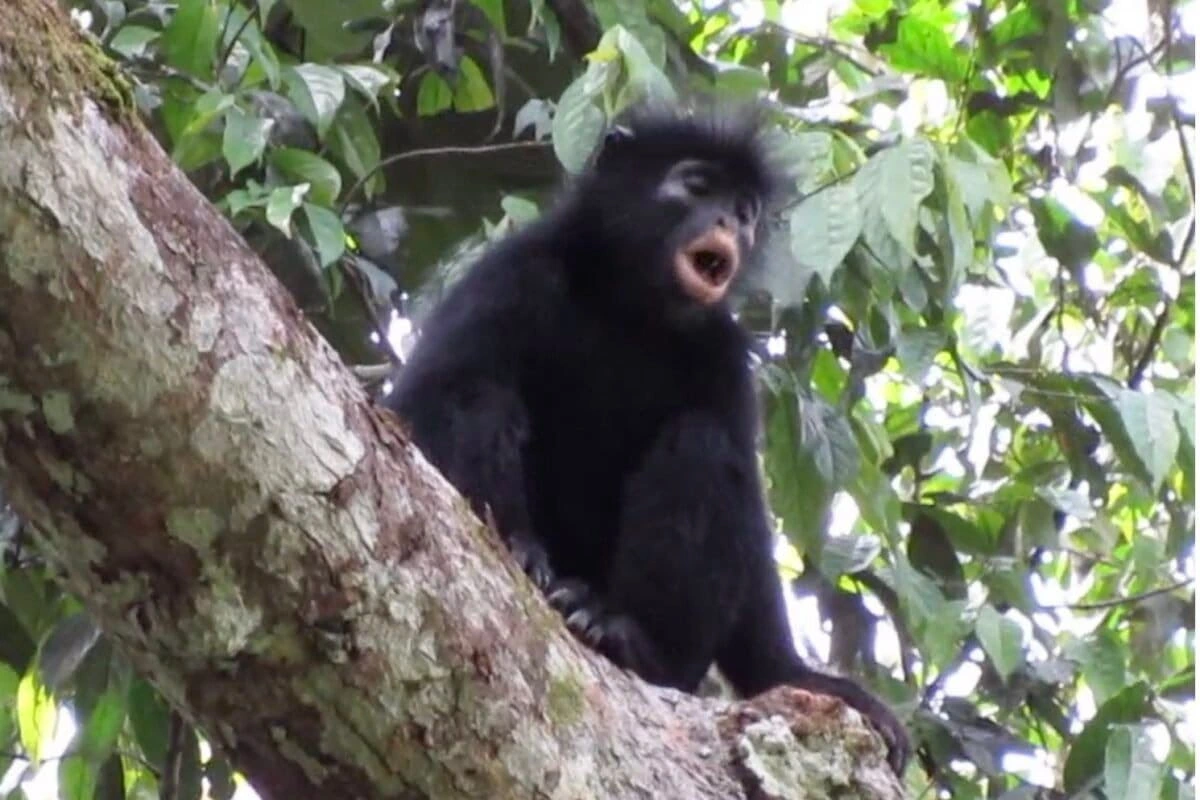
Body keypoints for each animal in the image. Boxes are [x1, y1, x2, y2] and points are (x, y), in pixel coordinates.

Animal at [382, 99, 910, 774]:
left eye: (744, 211)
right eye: (697, 187)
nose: (728, 223)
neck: (631, 308)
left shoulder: (721, 354)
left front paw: (794, 674)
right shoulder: (513, 270)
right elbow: (427, 400)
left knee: (703, 444)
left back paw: (630, 638)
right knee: (477, 391)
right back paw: (521, 551)